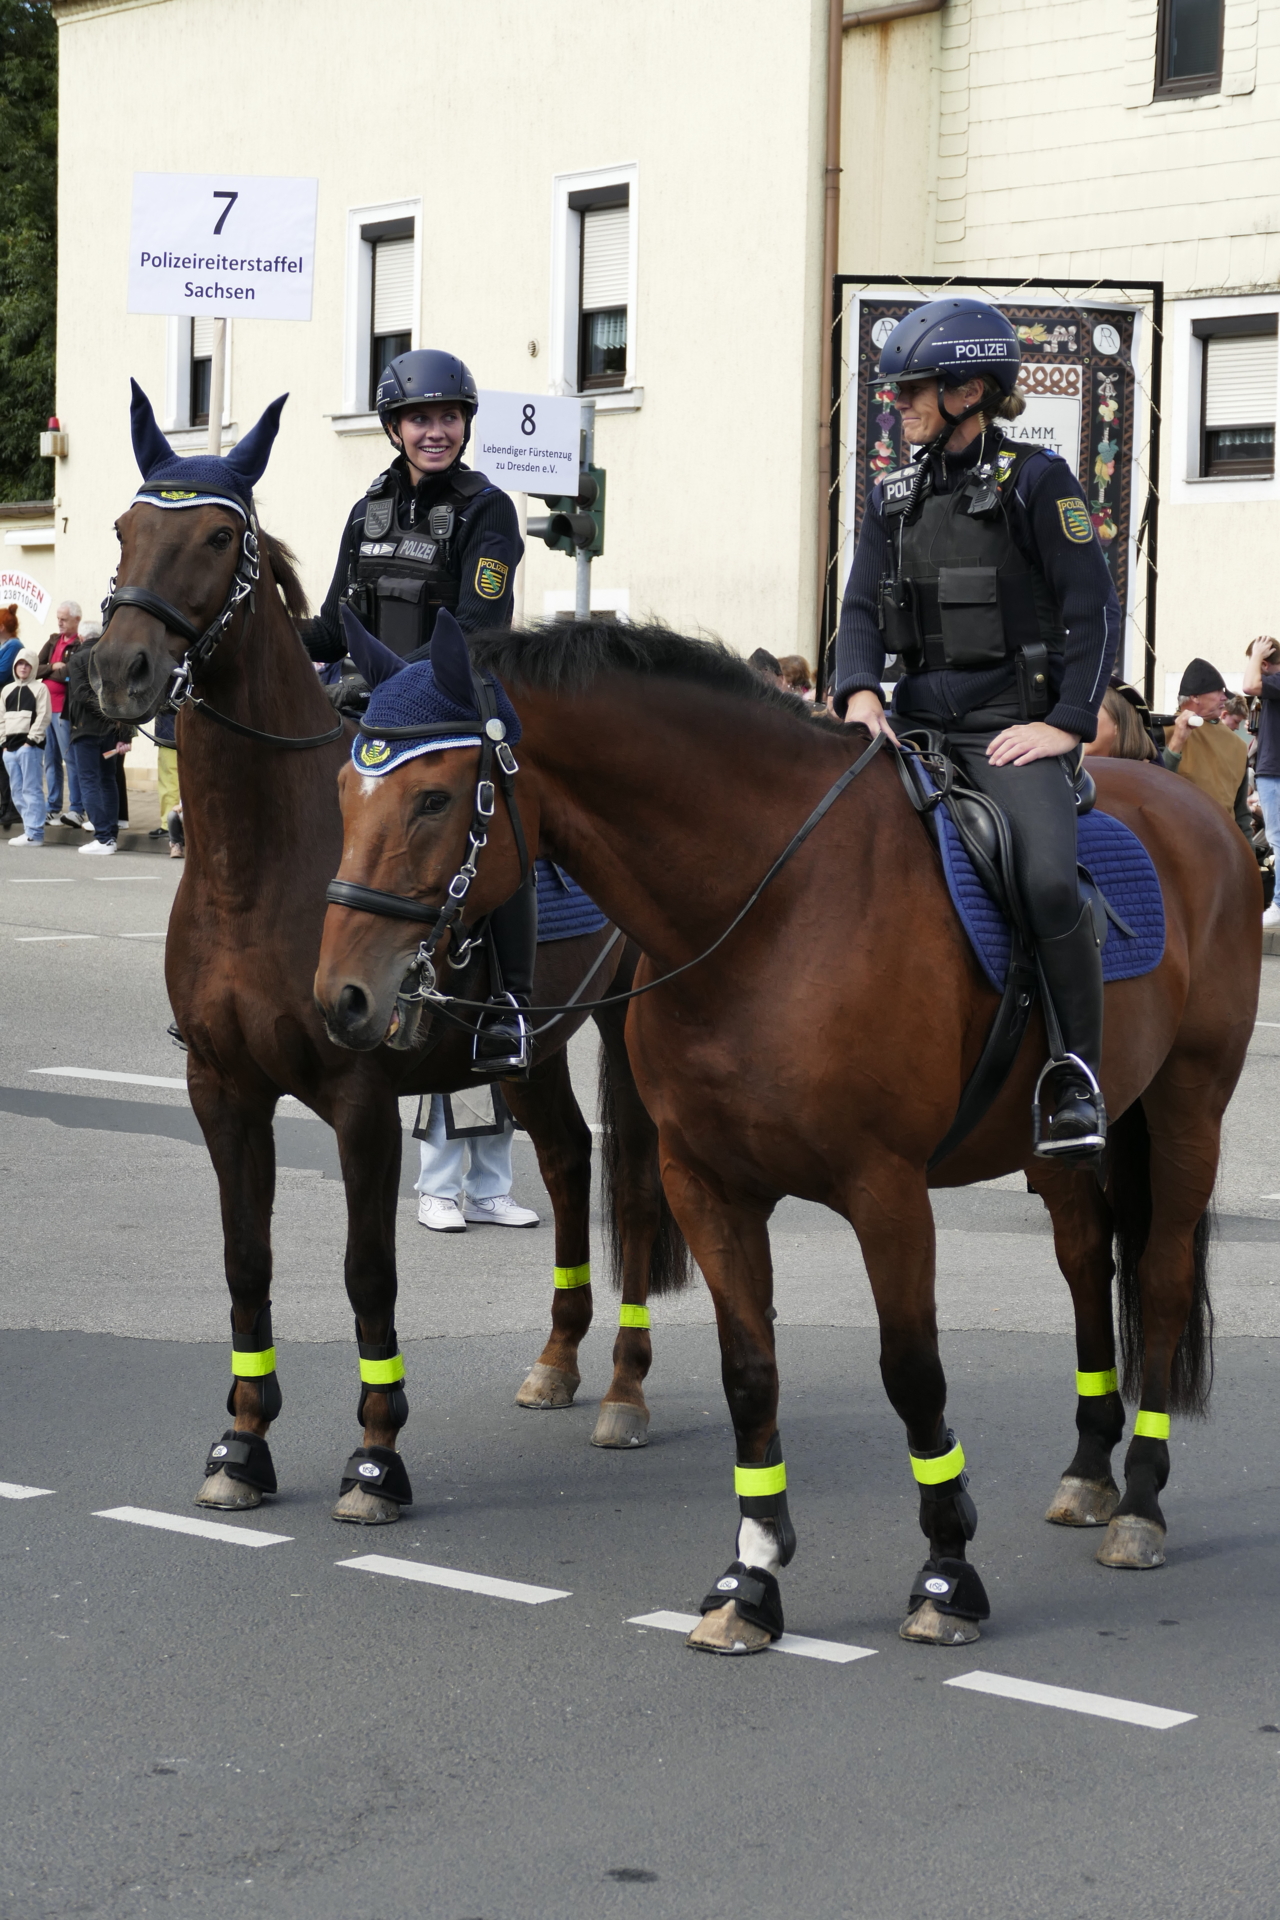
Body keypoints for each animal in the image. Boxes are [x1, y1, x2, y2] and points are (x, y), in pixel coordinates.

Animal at [91, 501, 689, 1524]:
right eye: (129, 524)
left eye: (216, 537)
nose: (119, 664)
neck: (255, 867)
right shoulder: (222, 1090)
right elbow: (245, 1263)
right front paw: (241, 1447)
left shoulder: (357, 1099)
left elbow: (368, 1273)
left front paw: (374, 1460)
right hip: (527, 1052)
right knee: (569, 1159)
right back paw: (557, 1361)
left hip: (625, 1028)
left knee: (637, 1191)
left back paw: (623, 1388)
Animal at [313, 618, 1259, 1649]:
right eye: (341, 791)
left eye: (434, 797)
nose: (341, 997)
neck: (772, 908)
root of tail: (1190, 799)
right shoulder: (708, 1184)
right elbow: (749, 1374)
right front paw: (751, 1576)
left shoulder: (887, 1191)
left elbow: (913, 1374)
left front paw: (945, 1573)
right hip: (1060, 1147)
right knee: (1089, 1261)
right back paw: (1089, 1473)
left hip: (1187, 1108)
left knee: (1159, 1283)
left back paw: (1140, 1504)